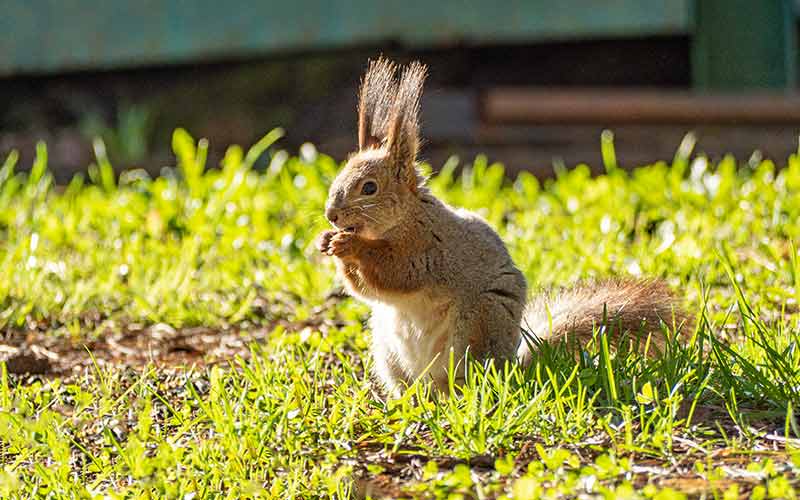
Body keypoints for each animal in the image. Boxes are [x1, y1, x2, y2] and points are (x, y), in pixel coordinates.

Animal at [317, 58, 684, 396]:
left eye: (369, 188)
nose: (331, 215)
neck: (404, 220)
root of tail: (512, 364)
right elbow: (366, 290)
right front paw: (327, 242)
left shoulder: (430, 248)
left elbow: (396, 272)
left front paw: (349, 246)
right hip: (387, 349)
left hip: (477, 326)